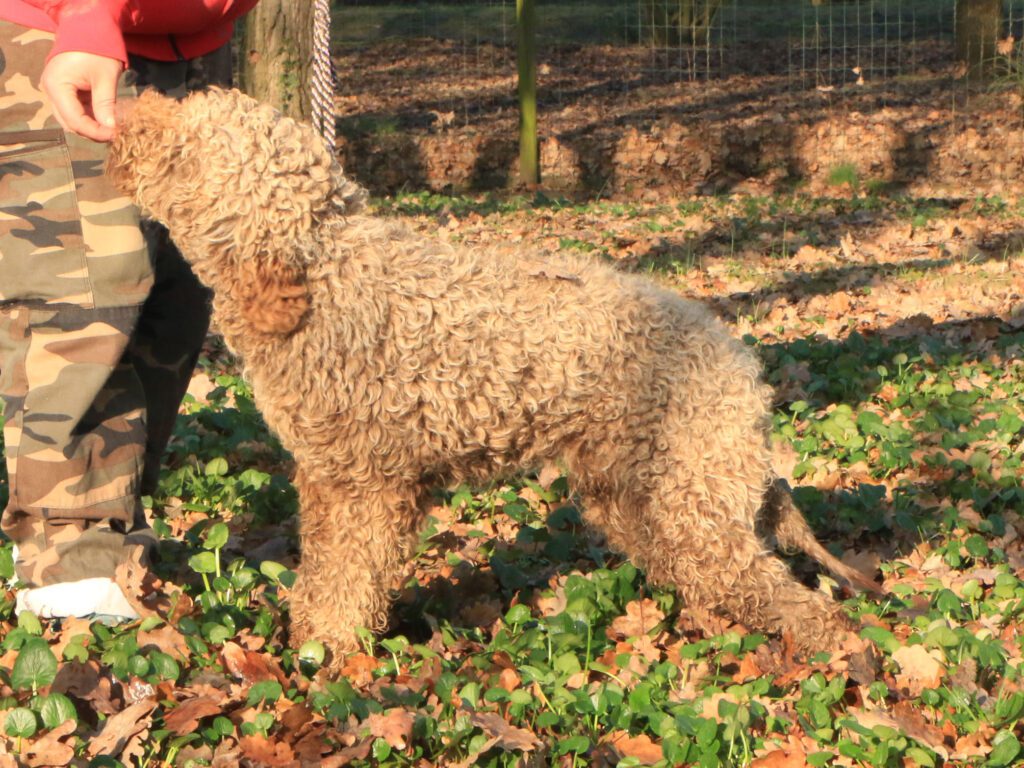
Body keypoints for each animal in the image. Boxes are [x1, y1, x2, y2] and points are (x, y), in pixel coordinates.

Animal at [108, 87, 876, 659]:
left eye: (182, 144)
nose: (123, 101)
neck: (325, 275)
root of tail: (741, 362)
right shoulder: (327, 480)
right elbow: (324, 575)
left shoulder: (366, 484)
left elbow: (348, 583)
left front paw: (329, 658)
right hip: (640, 497)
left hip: (693, 489)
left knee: (785, 595)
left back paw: (834, 658)